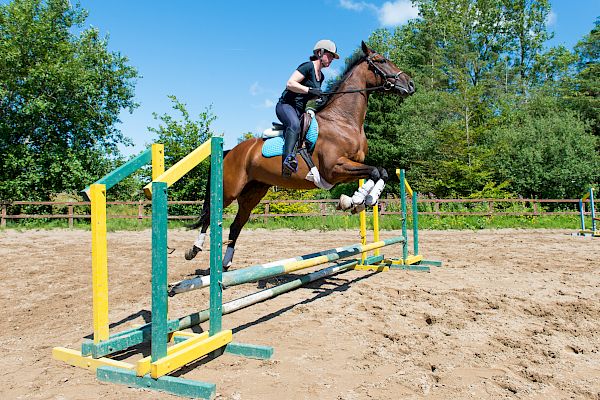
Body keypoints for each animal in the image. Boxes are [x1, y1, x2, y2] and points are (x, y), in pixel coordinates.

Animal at [185, 41, 414, 268]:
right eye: (381, 61)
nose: (410, 84)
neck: (343, 120)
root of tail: (231, 150)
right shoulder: (334, 168)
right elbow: (375, 171)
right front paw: (356, 201)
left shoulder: (349, 168)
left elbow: (380, 172)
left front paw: (358, 201)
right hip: (229, 190)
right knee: (210, 215)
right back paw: (194, 250)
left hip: (253, 192)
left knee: (236, 225)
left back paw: (226, 264)